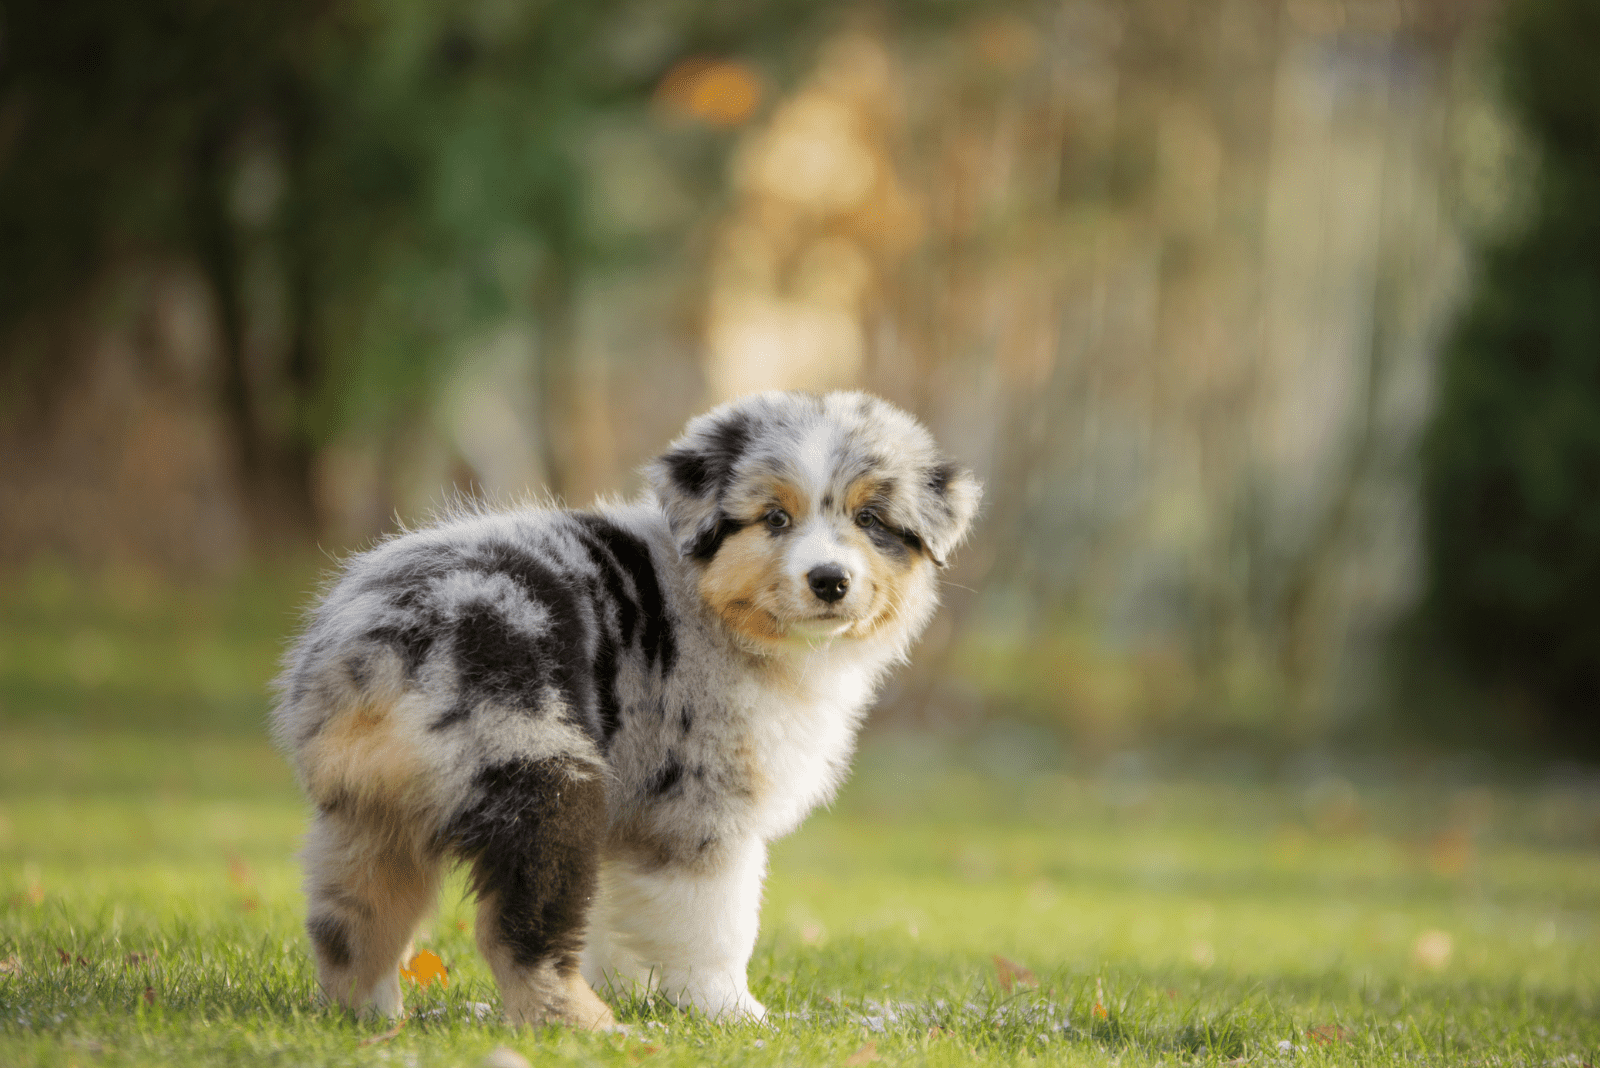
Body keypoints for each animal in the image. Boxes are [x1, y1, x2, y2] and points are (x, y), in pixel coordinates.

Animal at [272, 390, 972, 1023]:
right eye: (775, 519)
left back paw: (370, 1020)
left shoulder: (634, 816)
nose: (830, 580)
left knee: (351, 926)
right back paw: (586, 1025)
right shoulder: (699, 806)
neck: (717, 609)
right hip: (540, 774)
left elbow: (622, 919)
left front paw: (638, 989)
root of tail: (374, 641)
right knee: (516, 932)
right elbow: (717, 923)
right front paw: (733, 1014)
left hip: (369, 813)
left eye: (870, 521)